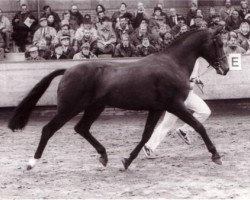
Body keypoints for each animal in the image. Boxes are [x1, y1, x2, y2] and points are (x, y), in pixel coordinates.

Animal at [8, 27, 229, 170]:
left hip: (94, 107)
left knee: (81, 128)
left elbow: (146, 136)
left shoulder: (157, 108)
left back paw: (104, 156)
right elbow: (199, 127)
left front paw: (126, 162)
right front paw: (216, 155)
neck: (172, 63)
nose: (226, 69)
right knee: (48, 130)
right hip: (69, 108)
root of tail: (68, 70)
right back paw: (32, 162)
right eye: (219, 43)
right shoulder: (174, 105)